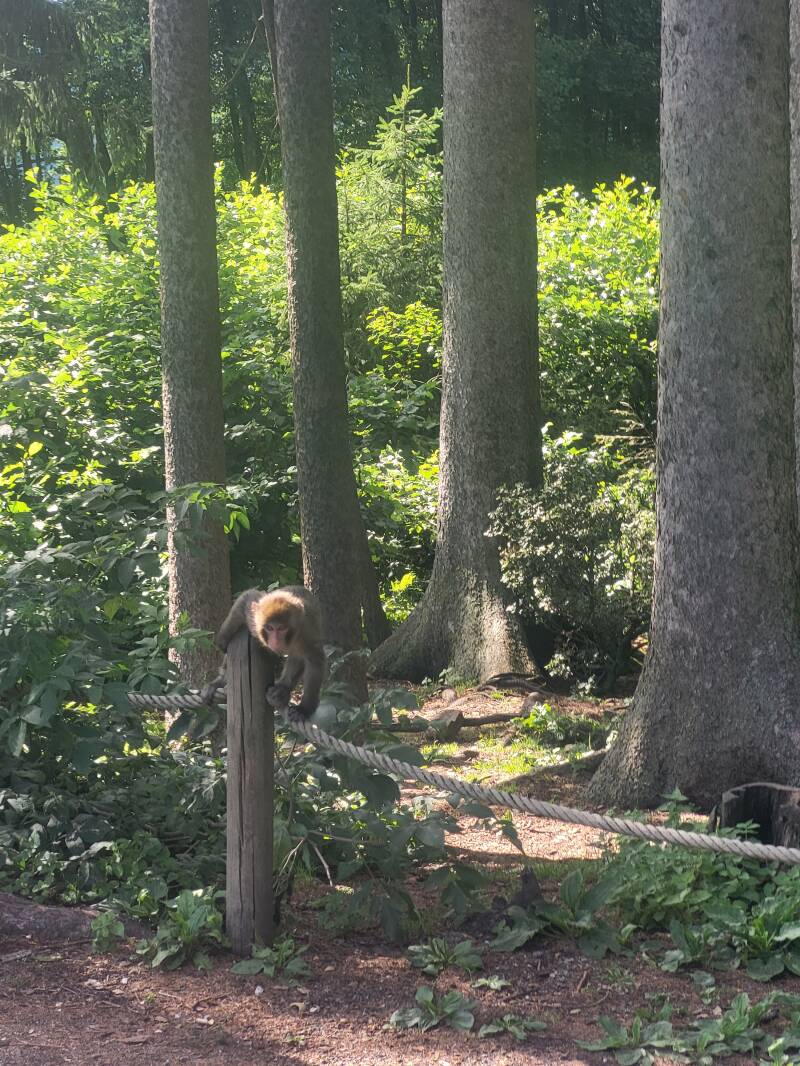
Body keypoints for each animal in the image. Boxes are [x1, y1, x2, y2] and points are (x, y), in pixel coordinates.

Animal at [202, 586, 326, 721]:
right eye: (270, 628)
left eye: (281, 628)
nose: (275, 641)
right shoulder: (254, 620)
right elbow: (247, 598)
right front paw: (222, 640)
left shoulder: (306, 630)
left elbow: (314, 659)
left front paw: (304, 709)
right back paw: (220, 682)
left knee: (297, 656)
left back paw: (283, 689)